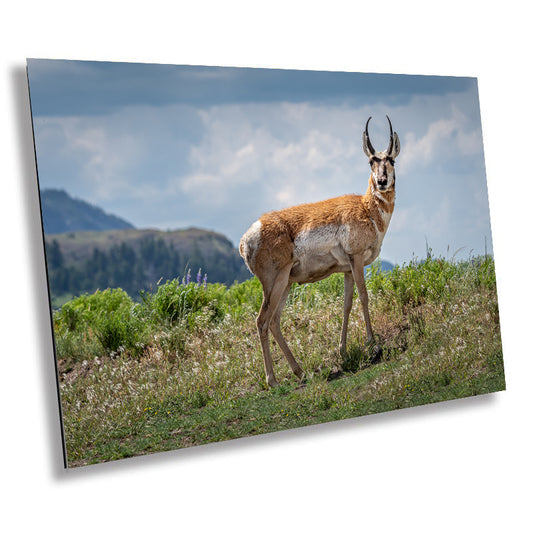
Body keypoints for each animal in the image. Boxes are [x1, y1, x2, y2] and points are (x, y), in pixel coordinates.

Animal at [238, 115, 400, 386]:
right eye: (371, 160)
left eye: (392, 160)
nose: (382, 182)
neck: (367, 208)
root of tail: (247, 237)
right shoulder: (356, 259)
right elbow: (365, 297)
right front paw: (372, 342)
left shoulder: (347, 269)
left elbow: (347, 304)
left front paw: (343, 350)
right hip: (275, 282)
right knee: (262, 321)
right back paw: (273, 381)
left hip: (286, 283)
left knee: (274, 321)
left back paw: (300, 372)